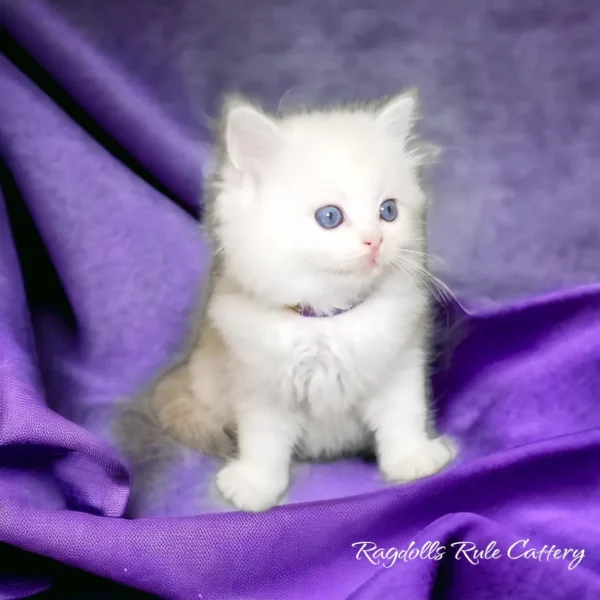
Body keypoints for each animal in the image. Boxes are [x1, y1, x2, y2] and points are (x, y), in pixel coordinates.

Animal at [149, 89, 454, 510]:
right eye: (330, 217)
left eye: (388, 211)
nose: (376, 241)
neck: (329, 320)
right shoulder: (257, 383)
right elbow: (263, 443)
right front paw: (254, 488)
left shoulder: (400, 364)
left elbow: (402, 415)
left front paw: (413, 461)